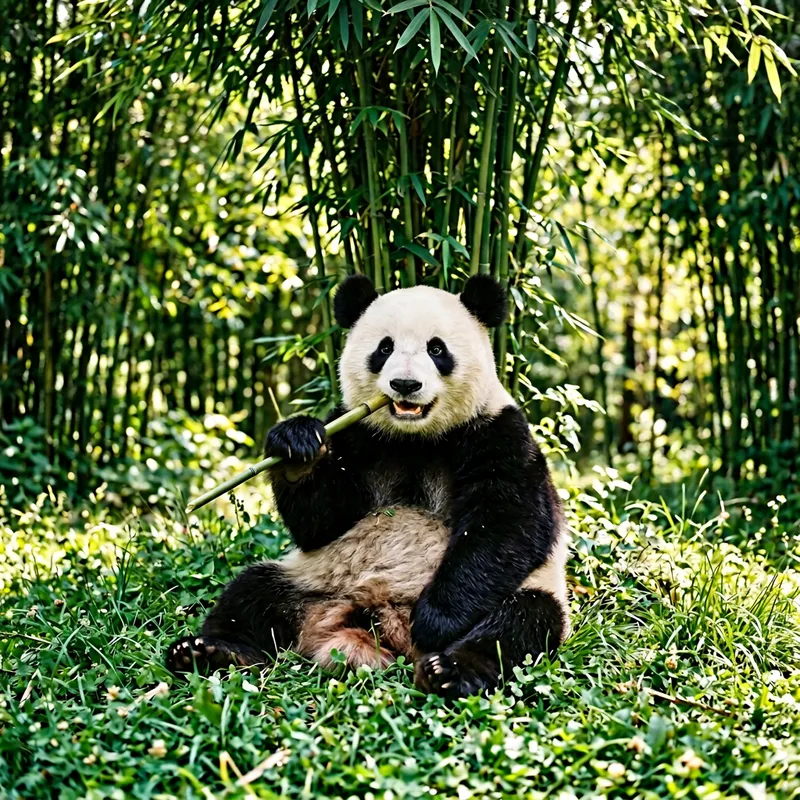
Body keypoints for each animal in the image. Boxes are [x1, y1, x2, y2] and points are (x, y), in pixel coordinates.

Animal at [166, 274, 570, 698]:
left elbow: (506, 525)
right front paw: (296, 447)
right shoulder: (356, 434)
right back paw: (209, 652)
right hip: (313, 578)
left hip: (533, 592)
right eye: (385, 347)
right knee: (251, 593)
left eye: (437, 349)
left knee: (520, 624)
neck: (416, 438)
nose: (405, 384)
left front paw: (435, 622)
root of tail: (372, 625)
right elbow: (322, 522)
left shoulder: (497, 432)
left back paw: (448, 671)